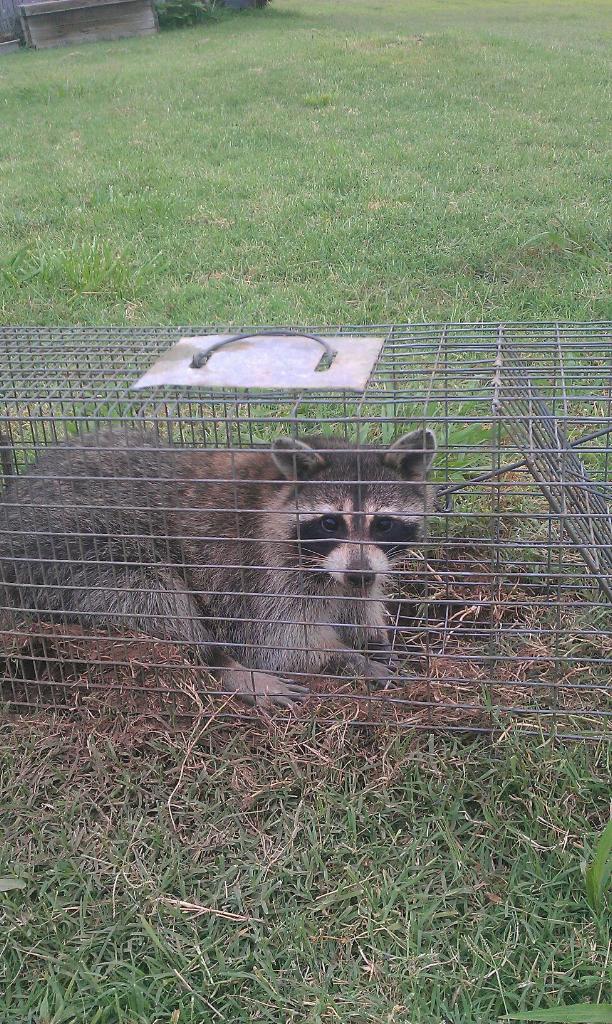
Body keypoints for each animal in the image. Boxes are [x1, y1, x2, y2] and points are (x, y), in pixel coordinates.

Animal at [0, 428, 435, 708]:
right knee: (156, 601)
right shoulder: (259, 575)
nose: (359, 574)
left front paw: (374, 637)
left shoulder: (356, 571)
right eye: (331, 523)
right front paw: (349, 659)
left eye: (383, 524)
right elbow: (281, 644)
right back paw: (222, 664)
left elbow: (359, 605)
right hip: (80, 555)